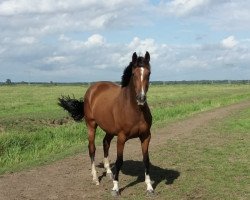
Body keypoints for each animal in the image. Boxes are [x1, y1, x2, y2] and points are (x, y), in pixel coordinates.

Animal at [59, 51, 152, 195]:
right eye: (133, 74)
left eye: (148, 73)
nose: (141, 98)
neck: (134, 111)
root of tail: (92, 89)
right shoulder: (121, 138)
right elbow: (119, 161)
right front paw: (115, 188)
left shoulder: (146, 136)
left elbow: (146, 160)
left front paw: (149, 187)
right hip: (91, 125)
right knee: (92, 149)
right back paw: (96, 178)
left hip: (109, 130)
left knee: (105, 143)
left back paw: (109, 172)